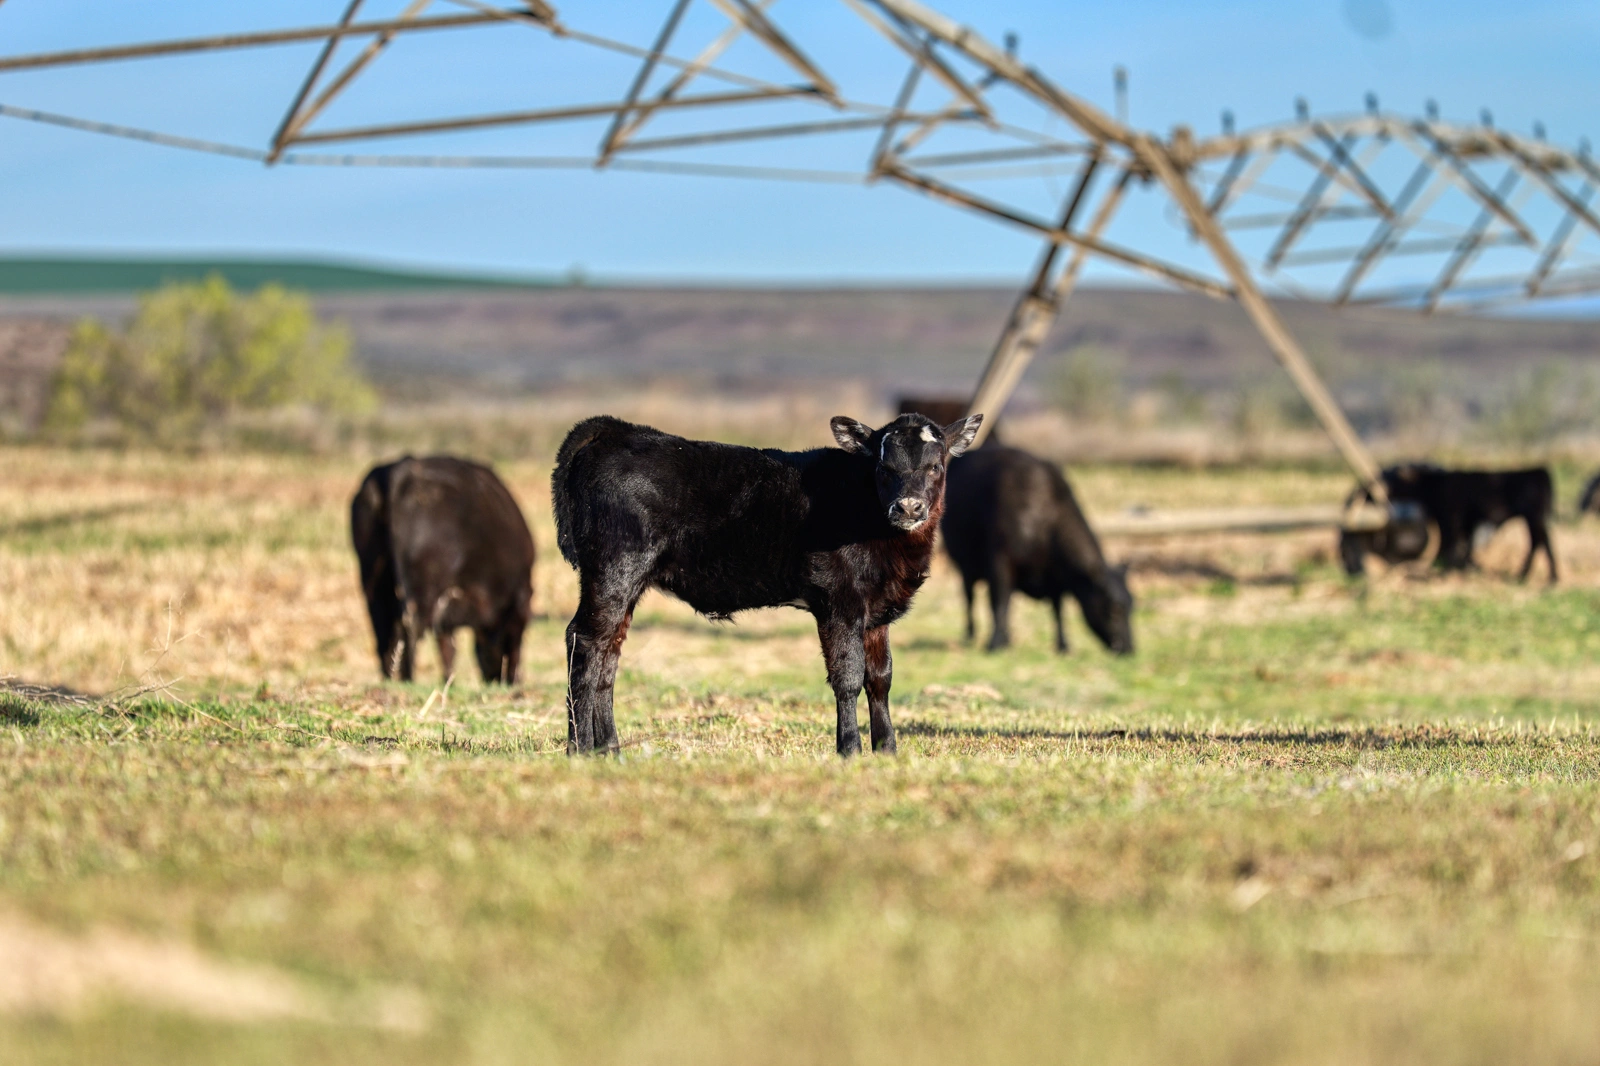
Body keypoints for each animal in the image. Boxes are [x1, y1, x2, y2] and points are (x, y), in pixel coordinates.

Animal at [351, 455, 535, 684]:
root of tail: (403, 468)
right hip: (421, 589)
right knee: (409, 627)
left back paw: (390, 676)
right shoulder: (518, 598)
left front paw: (449, 679)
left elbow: (447, 645)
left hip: (374, 582)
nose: (496, 679)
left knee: (383, 630)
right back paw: (408, 678)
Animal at [551, 411, 981, 757]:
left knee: (608, 654)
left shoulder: (876, 613)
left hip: (626, 583)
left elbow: (880, 678)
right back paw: (579, 750)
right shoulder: (839, 602)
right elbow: (848, 676)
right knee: (584, 643)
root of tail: (617, 431)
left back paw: (610, 750)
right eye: (884, 467)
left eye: (935, 466)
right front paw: (850, 750)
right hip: (614, 570)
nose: (908, 507)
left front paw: (888, 751)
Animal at [942, 445, 1133, 656]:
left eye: (1131, 606)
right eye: (1114, 609)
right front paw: (995, 643)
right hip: (964, 564)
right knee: (970, 597)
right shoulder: (1000, 562)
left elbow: (1058, 610)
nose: (1129, 648)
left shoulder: (1056, 577)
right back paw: (971, 635)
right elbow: (999, 603)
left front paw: (1063, 645)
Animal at [1338, 463, 1556, 582]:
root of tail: (1540, 471)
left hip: (1534, 517)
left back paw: (1535, 576)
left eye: (1394, 483)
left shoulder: (1450, 518)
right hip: (1536, 518)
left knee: (1539, 542)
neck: (1434, 485)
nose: (1370, 491)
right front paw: (1462, 567)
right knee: (1542, 542)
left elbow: (1450, 545)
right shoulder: (1464, 523)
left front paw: (1445, 569)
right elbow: (1462, 546)